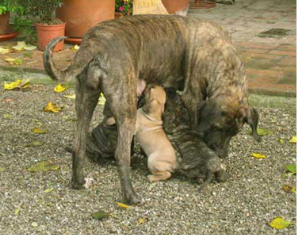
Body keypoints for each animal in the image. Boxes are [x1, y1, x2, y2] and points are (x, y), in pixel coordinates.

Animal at [43, 15, 260, 206]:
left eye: (234, 133)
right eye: (217, 127)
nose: (221, 154)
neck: (224, 61)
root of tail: (95, 42)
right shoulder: (192, 97)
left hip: (85, 99)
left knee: (78, 145)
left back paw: (79, 182)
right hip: (126, 108)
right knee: (121, 155)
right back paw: (131, 197)